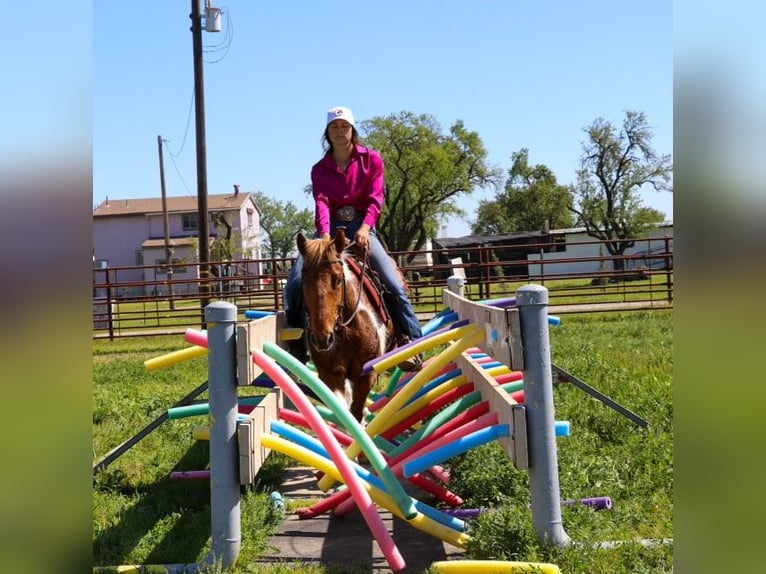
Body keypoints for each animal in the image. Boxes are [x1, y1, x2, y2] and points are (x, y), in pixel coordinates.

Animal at [296, 228, 396, 424]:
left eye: (338, 279)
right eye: (303, 279)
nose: (322, 339)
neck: (346, 330)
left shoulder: (366, 376)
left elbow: (355, 413)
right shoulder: (330, 375)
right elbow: (343, 411)